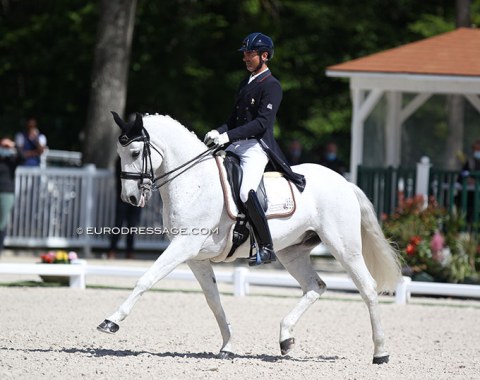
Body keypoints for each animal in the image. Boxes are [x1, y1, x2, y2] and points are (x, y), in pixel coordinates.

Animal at [99, 111, 404, 364]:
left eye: (135, 152)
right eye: (119, 152)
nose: (130, 198)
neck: (194, 182)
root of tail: (345, 182)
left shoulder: (183, 246)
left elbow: (145, 280)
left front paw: (111, 322)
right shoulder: (195, 257)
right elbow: (214, 301)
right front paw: (228, 346)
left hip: (344, 247)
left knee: (368, 288)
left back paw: (380, 353)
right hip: (292, 252)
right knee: (315, 286)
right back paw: (285, 338)